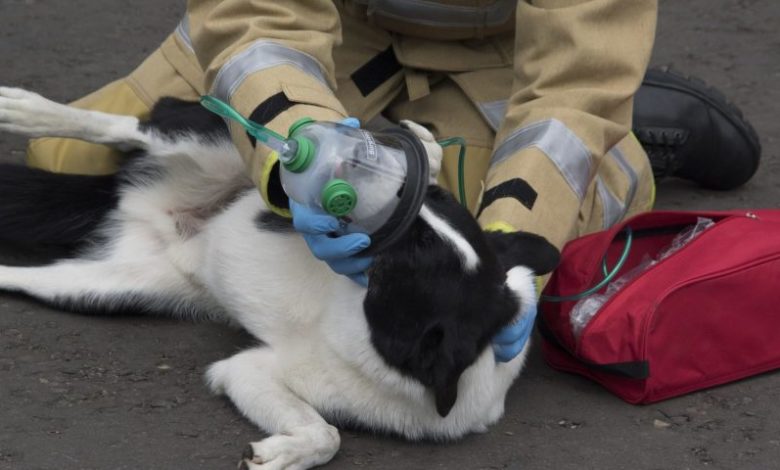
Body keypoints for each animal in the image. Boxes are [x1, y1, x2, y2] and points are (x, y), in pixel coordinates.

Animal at [0, 86, 556, 468]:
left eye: (412, 257)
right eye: (435, 201)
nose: (405, 186)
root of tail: (131, 200)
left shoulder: (249, 372)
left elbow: (327, 433)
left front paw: (284, 454)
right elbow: (327, 434)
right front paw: (427, 150)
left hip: (109, 287)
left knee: (26, 275)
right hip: (217, 144)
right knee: (128, 127)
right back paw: (27, 110)